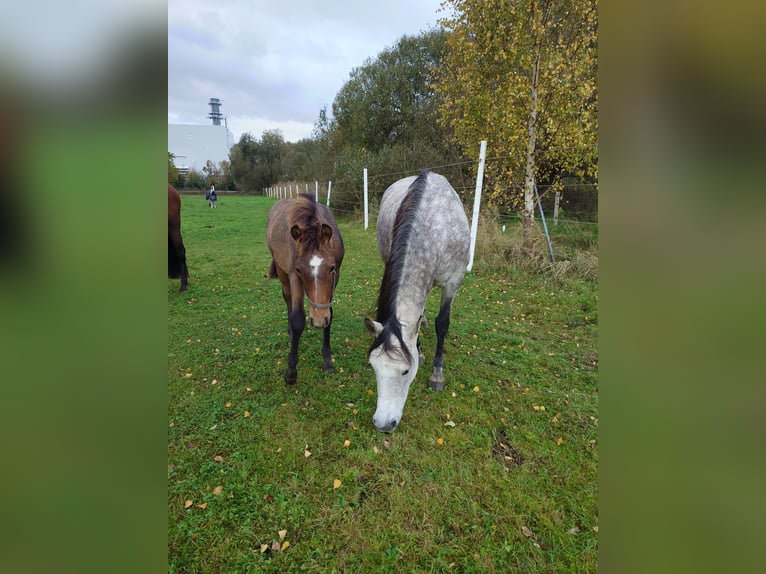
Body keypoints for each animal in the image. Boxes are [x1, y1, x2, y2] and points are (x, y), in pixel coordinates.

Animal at [266, 193, 345, 385]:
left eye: (331, 268)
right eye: (300, 269)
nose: (318, 320)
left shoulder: (337, 276)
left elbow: (330, 315)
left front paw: (327, 361)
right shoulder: (294, 276)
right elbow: (297, 320)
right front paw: (291, 372)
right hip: (282, 273)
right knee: (287, 298)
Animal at [365, 170, 470, 432]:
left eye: (405, 372)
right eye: (373, 367)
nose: (383, 424)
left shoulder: (453, 281)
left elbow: (442, 323)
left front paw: (436, 375)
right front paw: (420, 352)